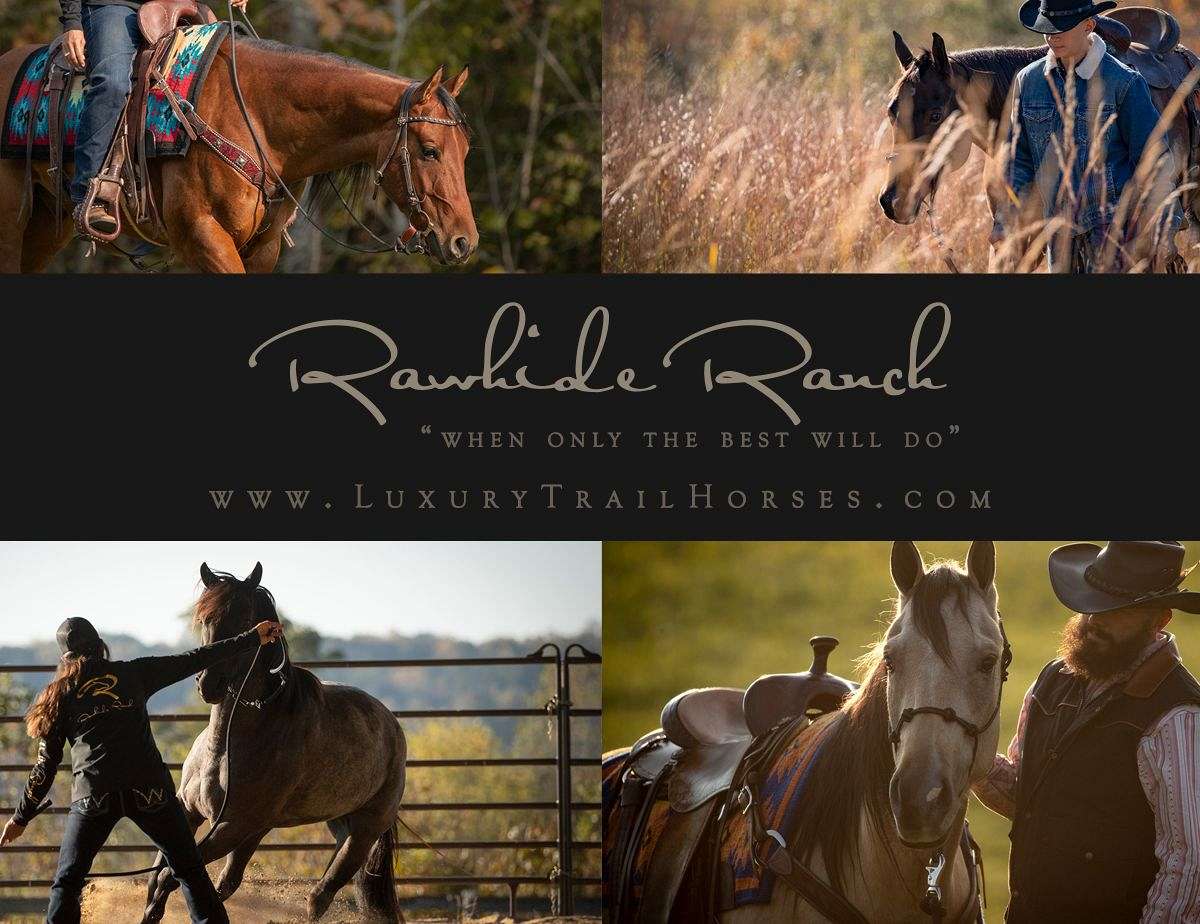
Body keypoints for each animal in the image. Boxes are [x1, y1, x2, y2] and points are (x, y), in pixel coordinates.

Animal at [0, 24, 478, 272]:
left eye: (465, 152)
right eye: (430, 150)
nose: (463, 242)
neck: (258, 119)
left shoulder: (262, 248)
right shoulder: (204, 237)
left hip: (48, 226)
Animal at [140, 562, 408, 922]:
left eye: (244, 621)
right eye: (205, 619)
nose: (208, 685)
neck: (225, 747)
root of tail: (393, 727)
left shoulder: (232, 825)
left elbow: (170, 877)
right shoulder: (189, 809)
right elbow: (157, 878)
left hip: (362, 831)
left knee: (320, 895)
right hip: (319, 825)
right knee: (231, 882)